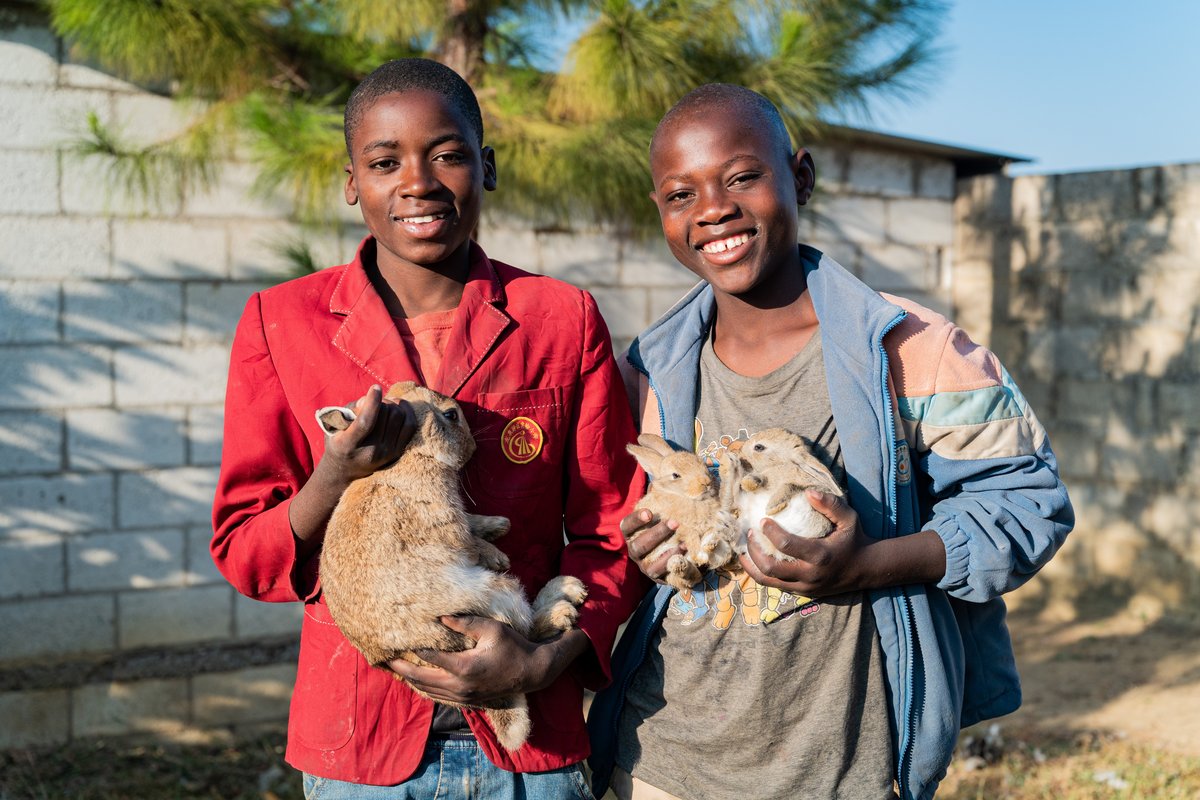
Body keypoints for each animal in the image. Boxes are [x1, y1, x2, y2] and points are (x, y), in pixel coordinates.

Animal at [314, 381, 585, 753]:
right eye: (451, 415)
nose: (472, 445)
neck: (413, 455)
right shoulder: (446, 525)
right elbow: (468, 541)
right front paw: (497, 554)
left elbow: (474, 525)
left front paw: (497, 525)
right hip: (492, 593)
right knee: (525, 628)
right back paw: (564, 599)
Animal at [624, 431, 734, 594]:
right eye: (675, 475)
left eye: (701, 464)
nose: (706, 482)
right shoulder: (681, 528)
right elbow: (692, 538)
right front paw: (700, 556)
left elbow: (711, 530)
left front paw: (709, 541)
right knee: (688, 577)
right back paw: (680, 563)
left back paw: (709, 544)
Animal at [720, 424, 844, 563]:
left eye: (759, 447)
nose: (740, 453)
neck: (781, 464)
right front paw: (750, 481)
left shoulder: (815, 489)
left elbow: (790, 485)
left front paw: (772, 507)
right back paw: (730, 463)